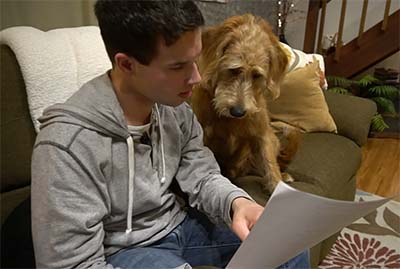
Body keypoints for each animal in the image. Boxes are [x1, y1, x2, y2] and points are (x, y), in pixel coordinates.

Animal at [192, 13, 298, 192]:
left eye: (256, 75)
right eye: (233, 70)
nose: (238, 112)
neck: (228, 121)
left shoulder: (262, 134)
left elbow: (270, 164)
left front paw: (278, 185)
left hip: (273, 139)